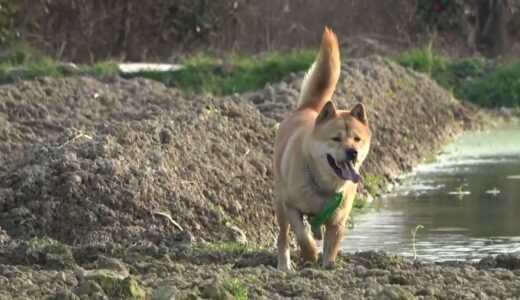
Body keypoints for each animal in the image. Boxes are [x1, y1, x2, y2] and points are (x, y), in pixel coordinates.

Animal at [274, 28, 372, 270]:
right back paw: (284, 265)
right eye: (336, 139)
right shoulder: (290, 206)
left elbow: (331, 246)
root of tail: (308, 108)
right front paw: (310, 254)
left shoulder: (339, 220)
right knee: (283, 235)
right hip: (280, 203)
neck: (325, 185)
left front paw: (328, 266)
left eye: (357, 139)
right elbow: (301, 235)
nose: (352, 152)